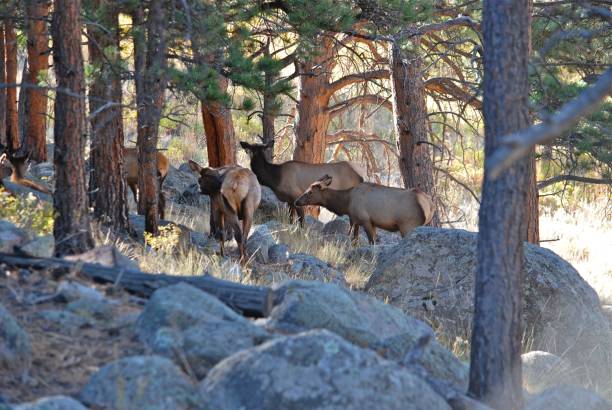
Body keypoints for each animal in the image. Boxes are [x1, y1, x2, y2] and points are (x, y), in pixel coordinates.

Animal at [296, 175, 436, 243]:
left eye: (310, 192)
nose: (296, 201)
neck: (346, 203)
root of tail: (429, 205)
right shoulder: (358, 221)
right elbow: (355, 240)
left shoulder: (365, 220)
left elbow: (371, 242)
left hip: (408, 225)